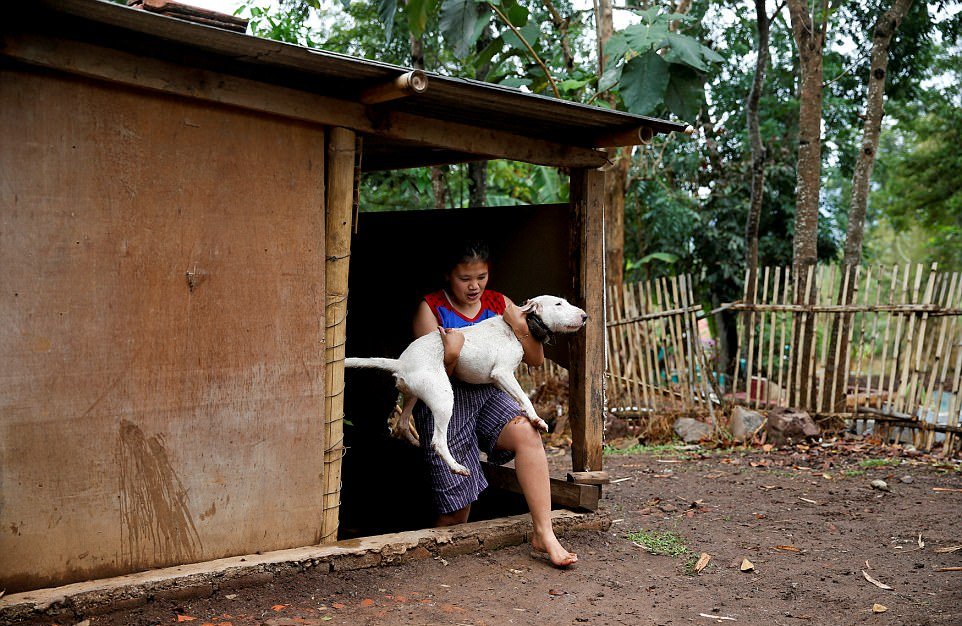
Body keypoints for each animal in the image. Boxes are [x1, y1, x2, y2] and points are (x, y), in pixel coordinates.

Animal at [344, 294, 584, 472]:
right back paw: (456, 467)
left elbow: (519, 398)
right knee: (437, 441)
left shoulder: (499, 379)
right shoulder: (503, 373)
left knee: (402, 425)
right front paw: (536, 420)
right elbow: (525, 398)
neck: (519, 327)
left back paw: (416, 443)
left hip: (412, 395)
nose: (585, 316)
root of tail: (402, 362)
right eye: (559, 304)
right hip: (443, 399)